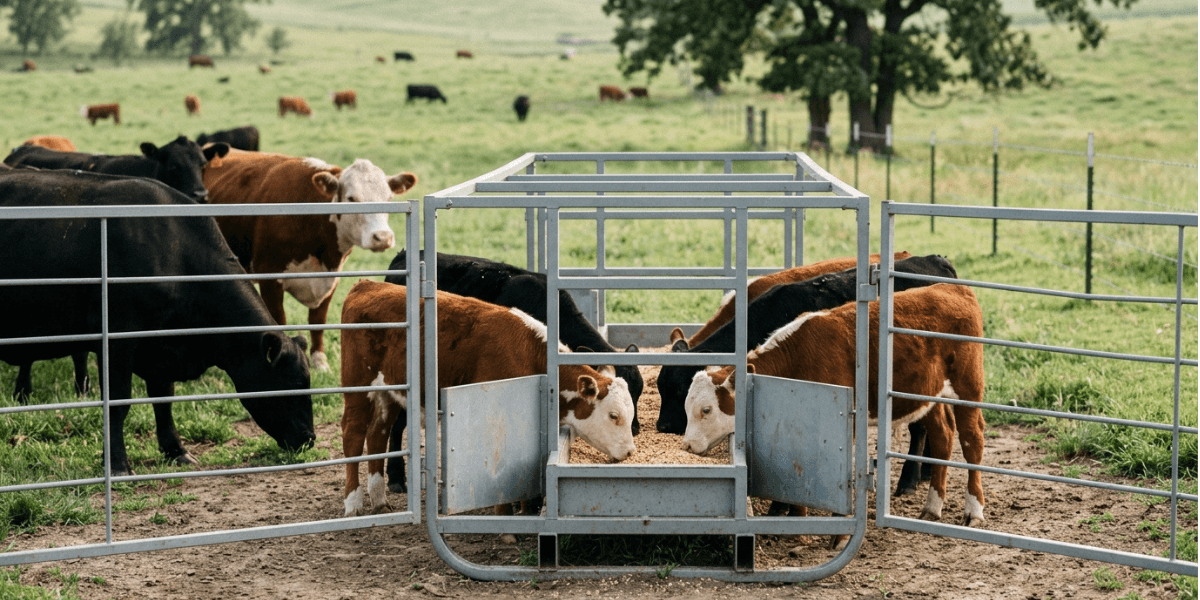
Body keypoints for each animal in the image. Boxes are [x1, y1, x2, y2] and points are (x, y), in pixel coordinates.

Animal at [0, 168, 316, 475]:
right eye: (292, 383)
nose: (310, 439)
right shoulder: (117, 342)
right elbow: (118, 404)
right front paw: (118, 465)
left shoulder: (161, 347)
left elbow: (164, 399)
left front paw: (176, 450)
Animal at [201, 149, 417, 373]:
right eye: (351, 198)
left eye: (388, 197)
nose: (383, 237)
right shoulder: (270, 278)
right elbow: (279, 320)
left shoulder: (331, 278)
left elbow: (318, 321)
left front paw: (320, 363)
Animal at [339, 280, 636, 517]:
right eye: (613, 416)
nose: (630, 452)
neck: (531, 354)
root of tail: (366, 285)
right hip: (357, 388)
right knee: (353, 434)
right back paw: (353, 503)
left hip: (387, 393)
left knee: (377, 435)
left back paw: (379, 500)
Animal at [681, 283, 986, 534]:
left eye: (706, 410)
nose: (687, 446)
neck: (798, 358)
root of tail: (956, 290)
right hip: (928, 395)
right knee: (943, 436)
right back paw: (932, 507)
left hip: (968, 388)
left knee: (972, 440)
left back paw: (973, 510)